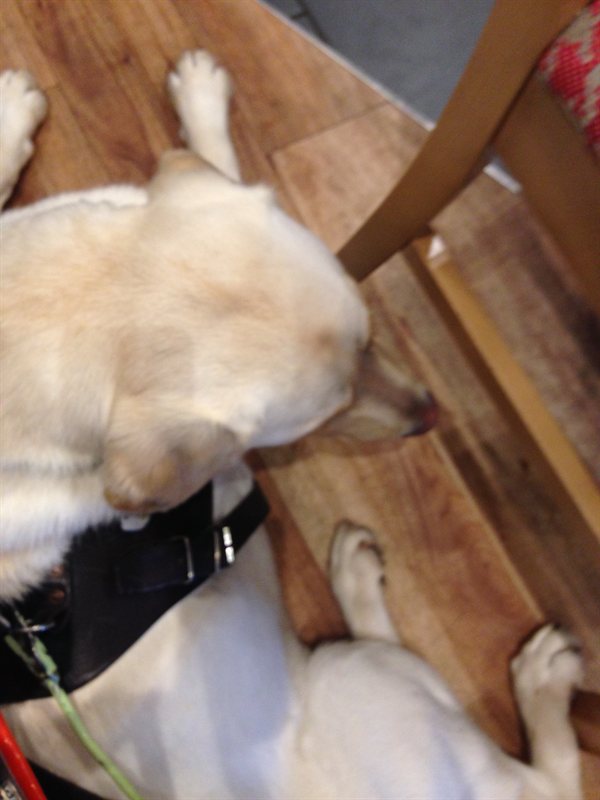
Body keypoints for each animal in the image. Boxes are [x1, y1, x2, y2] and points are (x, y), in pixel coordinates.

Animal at [0, 52, 583, 799]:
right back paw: (523, 667)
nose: (428, 417)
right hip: (364, 682)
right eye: (328, 412)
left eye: (370, 335)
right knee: (549, 777)